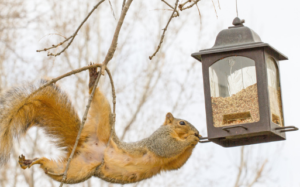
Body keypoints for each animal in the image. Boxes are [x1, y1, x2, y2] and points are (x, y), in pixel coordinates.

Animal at [0, 64, 202, 184]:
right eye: (182, 122)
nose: (198, 132)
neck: (172, 131)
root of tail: (83, 143)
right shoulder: (158, 139)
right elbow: (166, 147)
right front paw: (191, 139)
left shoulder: (169, 164)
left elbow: (177, 162)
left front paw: (196, 140)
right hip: (103, 118)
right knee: (98, 100)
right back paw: (92, 81)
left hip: (77, 170)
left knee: (53, 168)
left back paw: (35, 160)